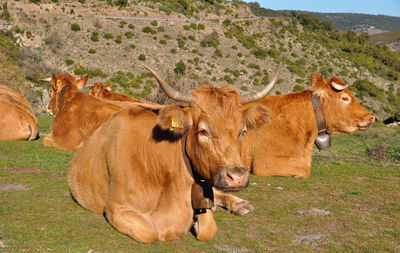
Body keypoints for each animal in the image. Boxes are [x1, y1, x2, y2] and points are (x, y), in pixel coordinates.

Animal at [68, 64, 282, 243]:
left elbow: (208, 228)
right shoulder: (116, 208)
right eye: (203, 131)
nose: (237, 177)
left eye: (243, 131)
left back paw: (240, 204)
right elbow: (150, 232)